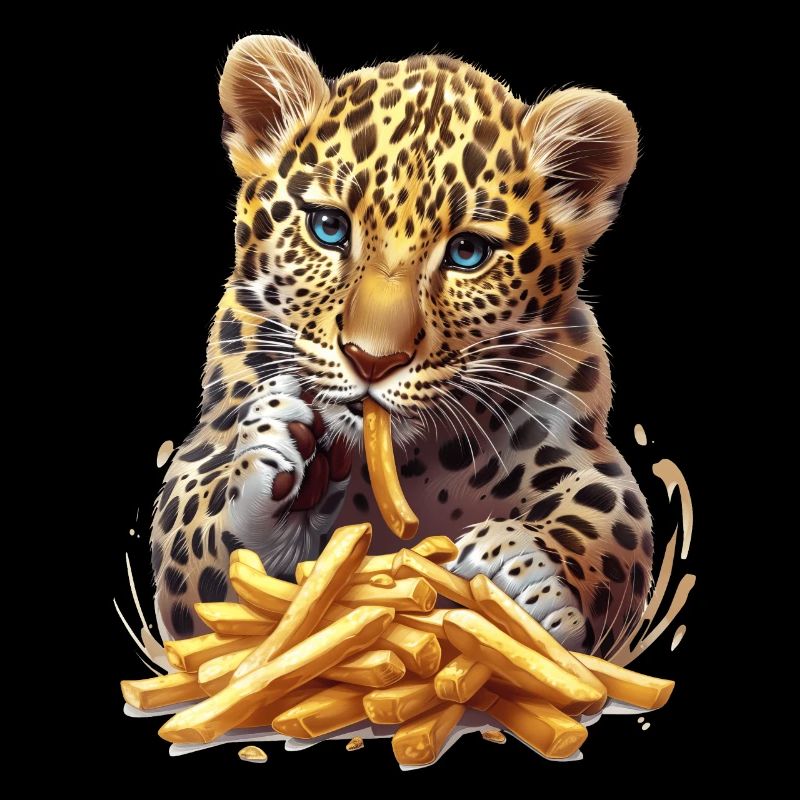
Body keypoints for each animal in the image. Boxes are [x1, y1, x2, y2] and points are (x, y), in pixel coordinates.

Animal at [150, 35, 652, 658]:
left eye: (467, 253)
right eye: (329, 227)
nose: (372, 360)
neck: (414, 464)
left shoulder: (579, 445)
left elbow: (610, 516)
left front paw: (524, 567)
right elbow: (192, 540)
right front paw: (275, 445)